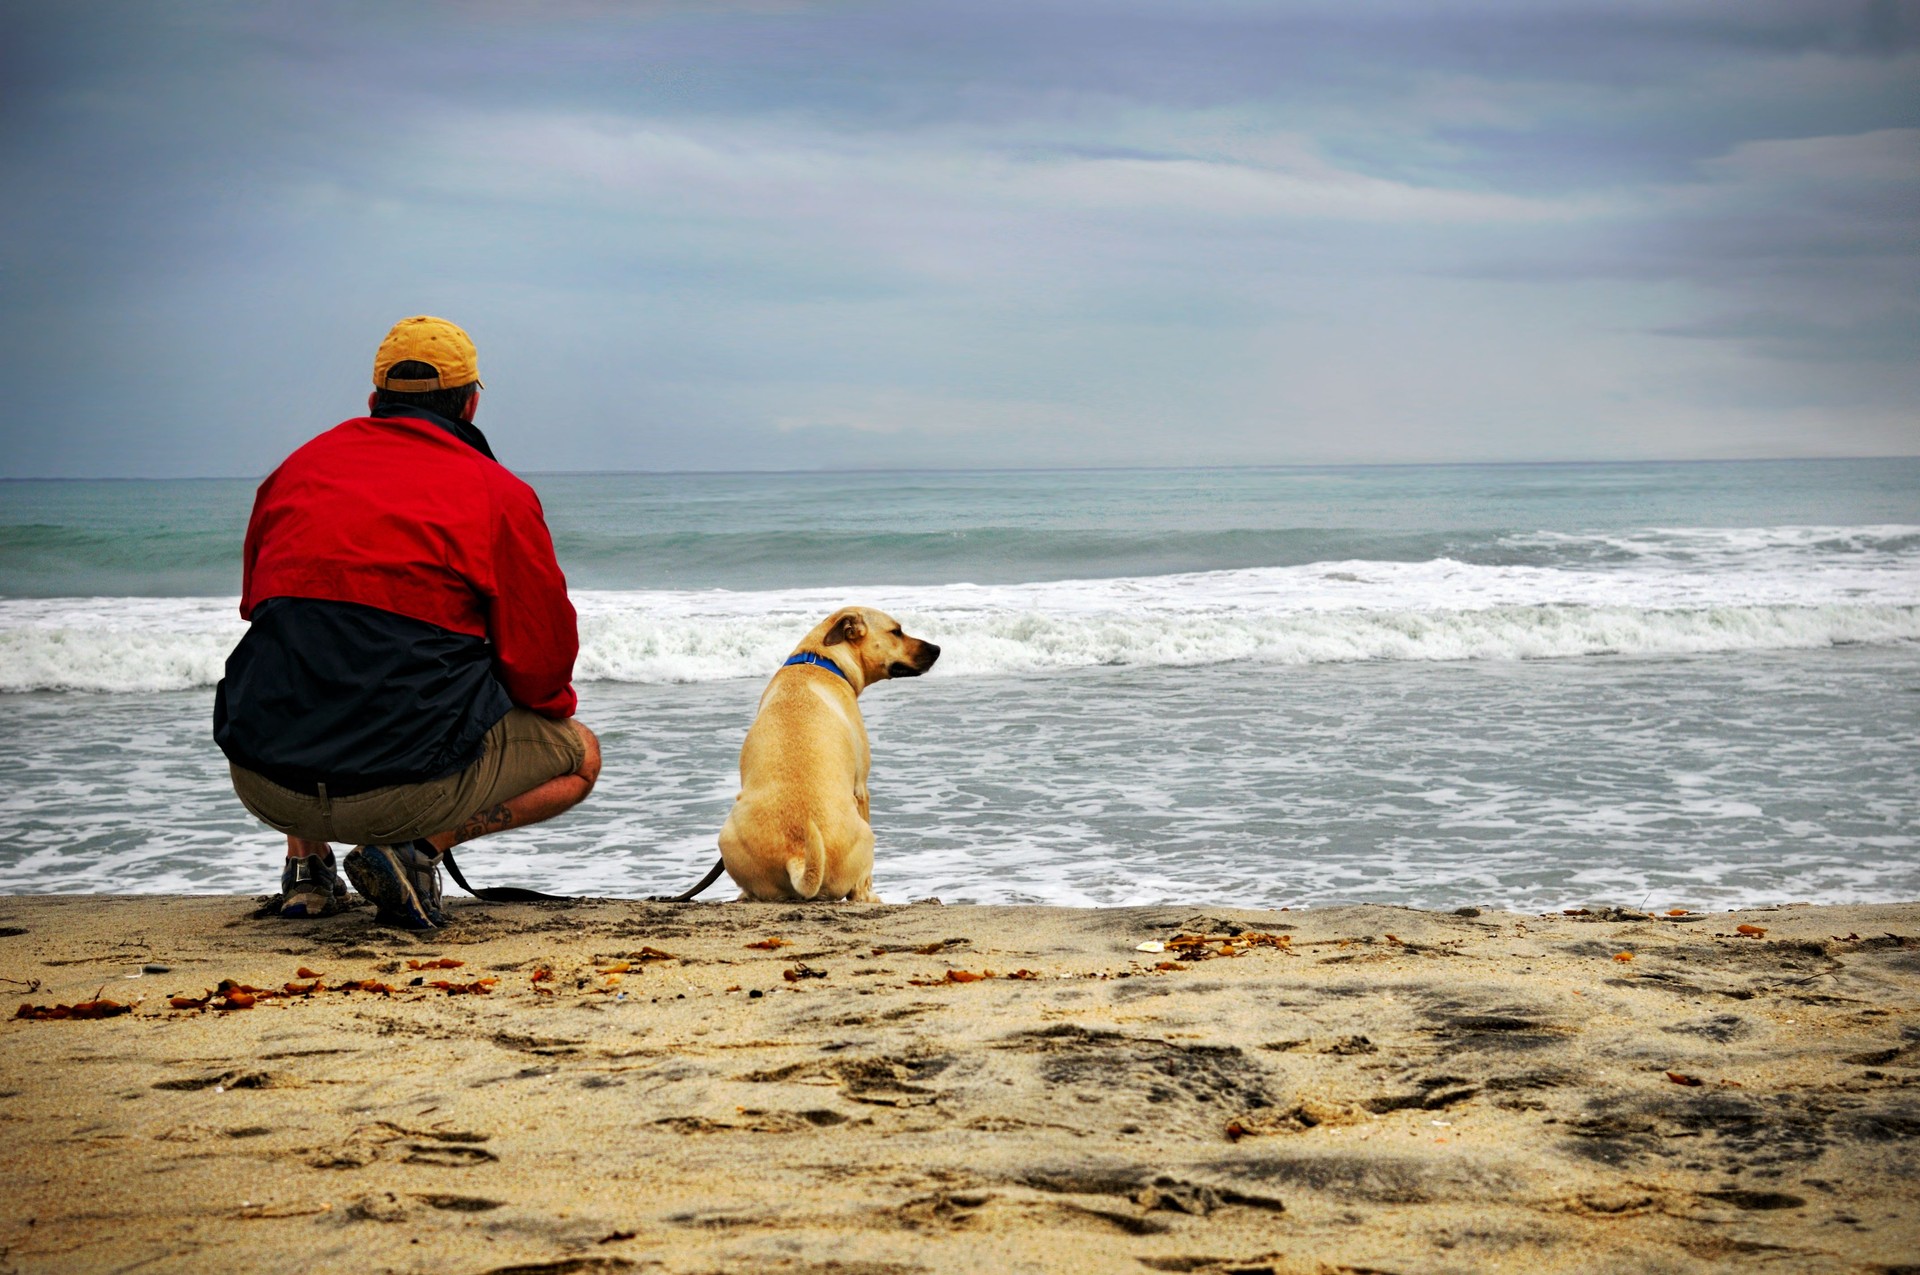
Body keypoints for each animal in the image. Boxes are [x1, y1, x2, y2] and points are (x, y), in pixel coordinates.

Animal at [718, 606, 940, 894]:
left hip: (727, 838)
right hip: (865, 834)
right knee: (859, 887)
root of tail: (797, 856)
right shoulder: (861, 788)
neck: (821, 659)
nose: (937, 649)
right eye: (896, 632)